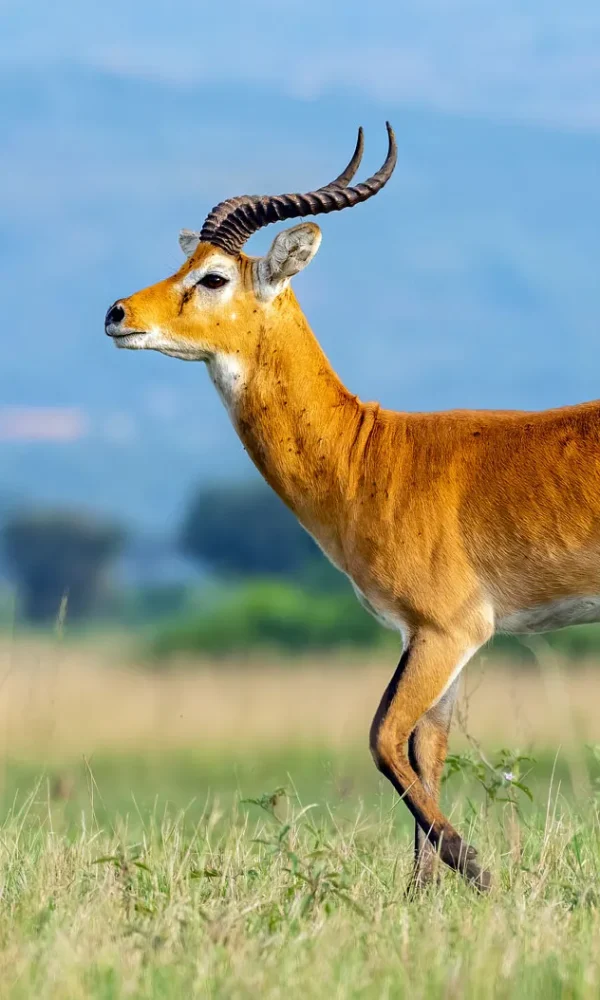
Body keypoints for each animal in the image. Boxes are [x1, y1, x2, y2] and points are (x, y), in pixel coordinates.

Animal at [105, 124, 600, 892]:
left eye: (213, 276)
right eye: (183, 260)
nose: (117, 314)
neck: (371, 452)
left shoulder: (451, 631)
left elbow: (383, 739)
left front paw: (476, 870)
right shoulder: (422, 636)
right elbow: (424, 749)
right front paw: (425, 895)